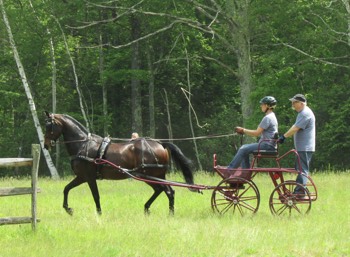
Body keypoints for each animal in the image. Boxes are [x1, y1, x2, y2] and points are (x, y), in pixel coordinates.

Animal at [42, 111, 196, 214]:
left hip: (150, 174)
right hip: (152, 176)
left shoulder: (88, 177)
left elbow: (95, 196)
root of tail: (160, 144)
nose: (45, 145)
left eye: (49, 126)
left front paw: (99, 214)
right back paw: (148, 208)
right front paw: (68, 209)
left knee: (167, 191)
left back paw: (169, 213)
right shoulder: (82, 177)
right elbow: (66, 189)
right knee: (163, 190)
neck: (83, 145)